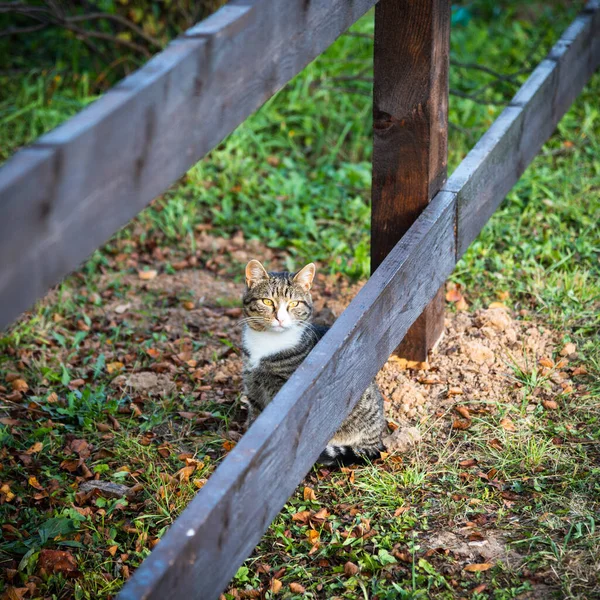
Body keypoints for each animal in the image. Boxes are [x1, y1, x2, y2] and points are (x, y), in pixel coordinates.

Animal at [239, 258, 384, 464]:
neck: (268, 342)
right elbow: (255, 418)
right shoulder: (252, 385)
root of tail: (377, 440)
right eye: (267, 301)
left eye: (294, 303)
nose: (280, 318)